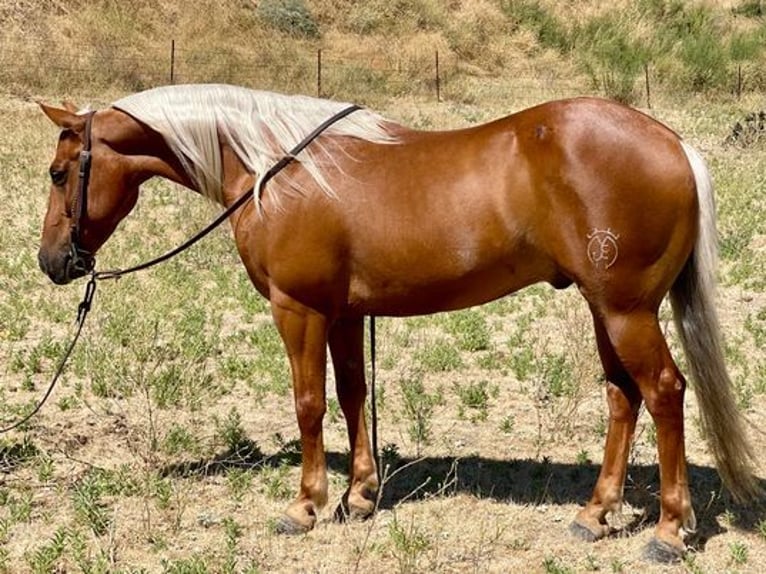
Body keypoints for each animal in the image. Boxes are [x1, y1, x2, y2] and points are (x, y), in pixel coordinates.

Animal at [37, 84, 760, 562]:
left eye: (58, 172)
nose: (52, 262)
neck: (277, 169)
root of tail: (673, 144)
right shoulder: (344, 313)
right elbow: (353, 395)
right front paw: (358, 497)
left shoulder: (297, 309)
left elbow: (308, 403)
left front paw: (305, 506)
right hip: (604, 308)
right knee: (622, 397)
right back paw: (595, 514)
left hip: (625, 310)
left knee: (664, 393)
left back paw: (667, 531)